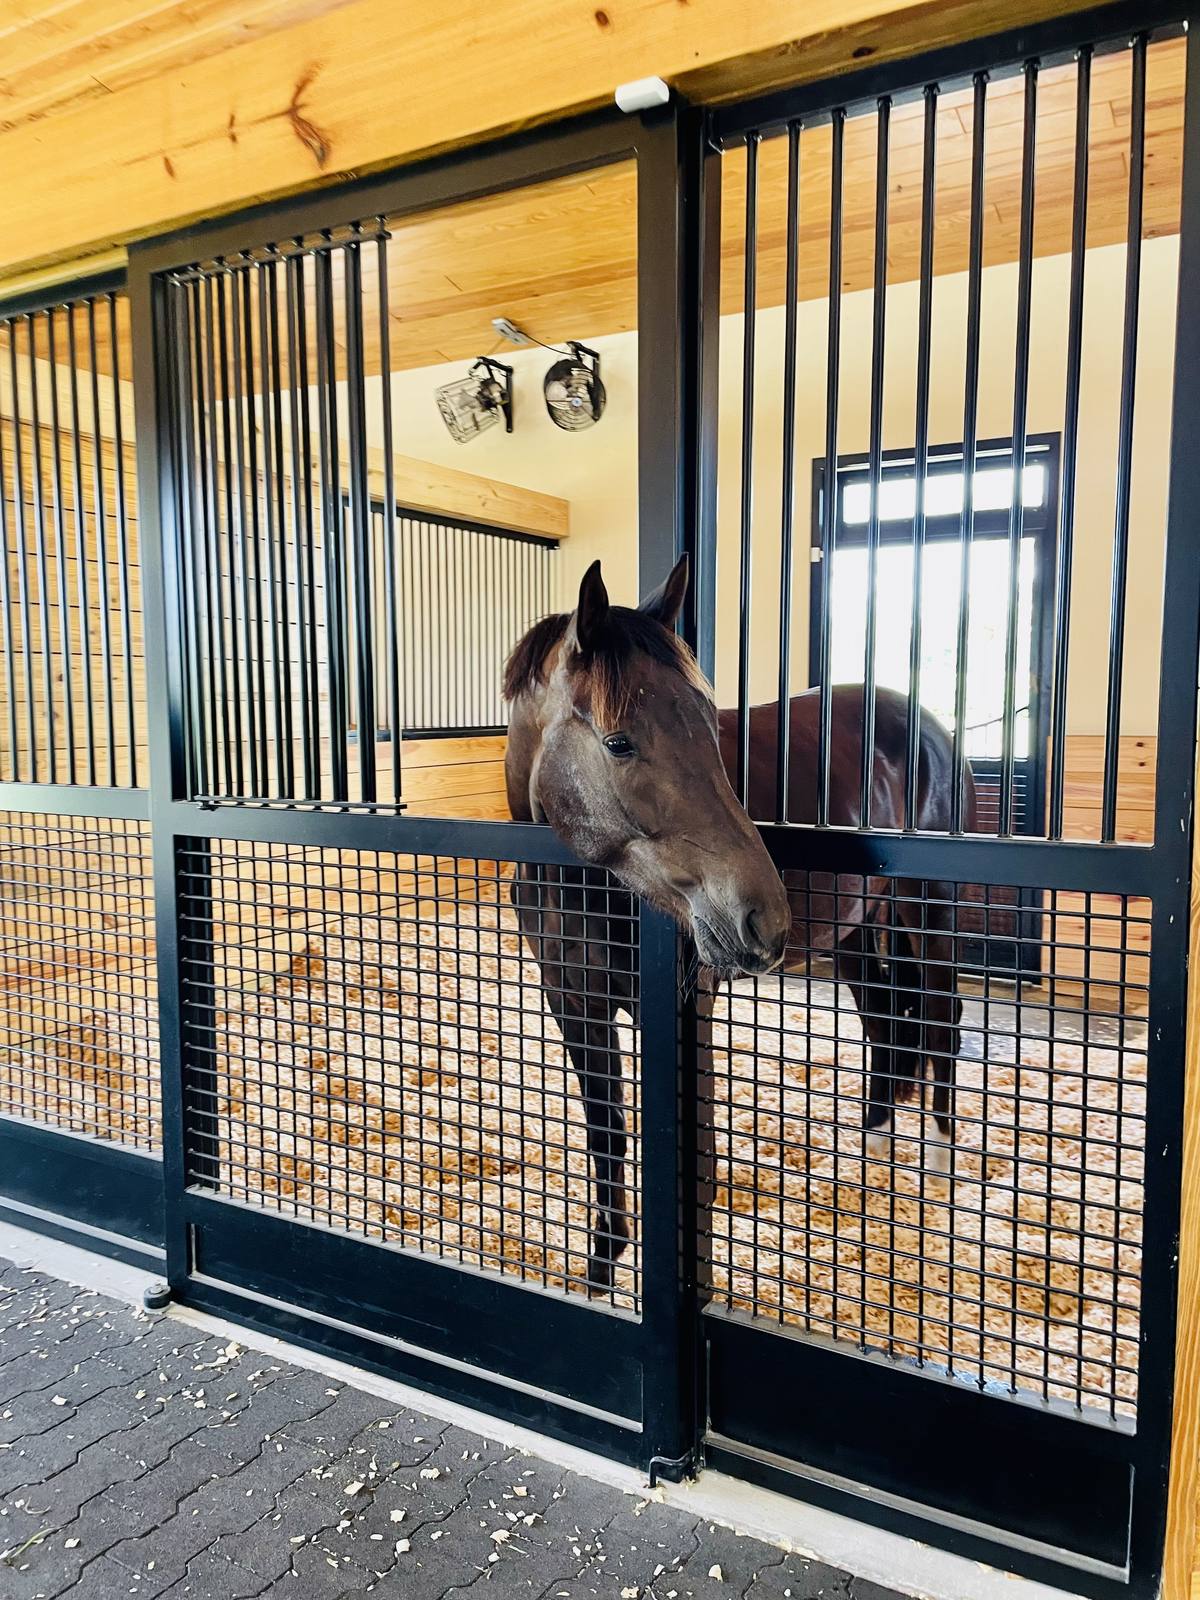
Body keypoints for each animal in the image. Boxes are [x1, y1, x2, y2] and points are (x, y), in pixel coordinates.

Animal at [503, 555, 967, 1291]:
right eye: (618, 741)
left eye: (706, 723)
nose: (764, 918)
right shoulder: (572, 1002)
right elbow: (607, 1134)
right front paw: (602, 1274)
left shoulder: (681, 1004)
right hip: (857, 926)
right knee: (886, 1019)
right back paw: (872, 1147)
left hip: (929, 908)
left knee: (941, 1016)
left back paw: (941, 1163)